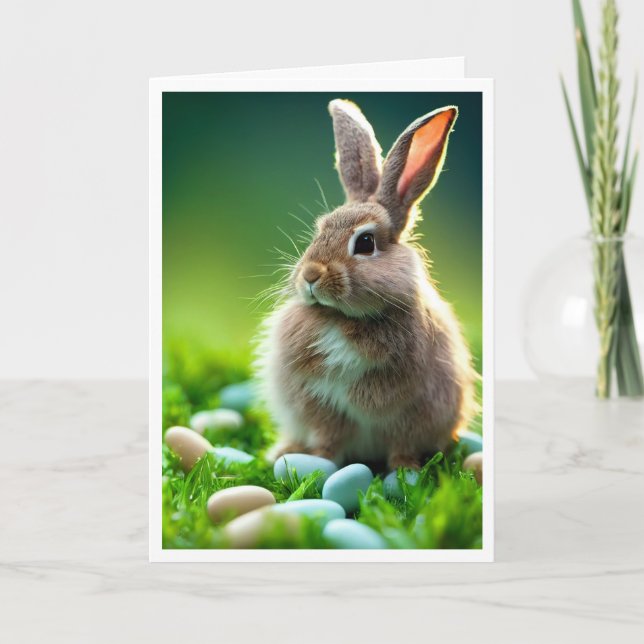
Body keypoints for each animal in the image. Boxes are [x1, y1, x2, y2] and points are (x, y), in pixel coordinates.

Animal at [254, 99, 477, 470]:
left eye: (365, 243)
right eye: (319, 231)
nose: (310, 275)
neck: (341, 318)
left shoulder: (408, 409)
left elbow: (401, 442)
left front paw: (405, 471)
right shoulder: (321, 404)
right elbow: (328, 438)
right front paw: (319, 460)